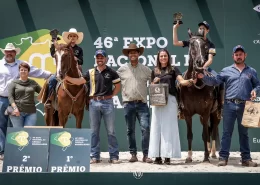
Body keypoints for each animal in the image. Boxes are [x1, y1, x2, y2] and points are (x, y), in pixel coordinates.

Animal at [179, 28, 221, 163]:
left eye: (205, 46)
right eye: (192, 44)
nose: (200, 62)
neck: (195, 86)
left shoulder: (206, 112)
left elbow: (205, 135)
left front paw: (206, 157)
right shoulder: (188, 114)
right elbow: (190, 135)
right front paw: (189, 157)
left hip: (215, 114)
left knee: (213, 131)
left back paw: (213, 153)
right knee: (208, 129)